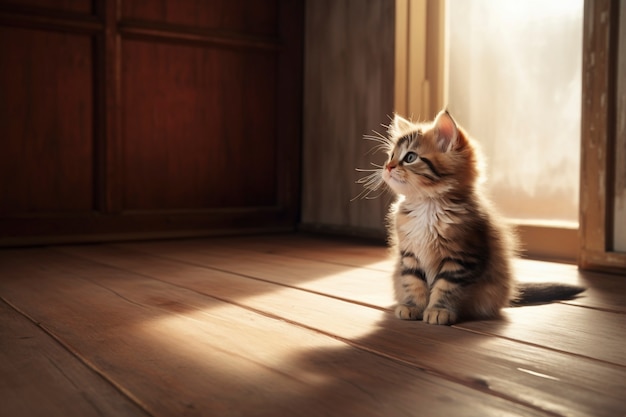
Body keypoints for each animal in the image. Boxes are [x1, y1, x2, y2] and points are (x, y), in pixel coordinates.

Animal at [358, 109, 584, 324]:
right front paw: (412, 306)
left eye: (410, 157)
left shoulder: (461, 257)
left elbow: (446, 287)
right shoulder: (410, 255)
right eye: (391, 156)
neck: (427, 207)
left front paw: (439, 310)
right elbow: (413, 282)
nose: (387, 167)